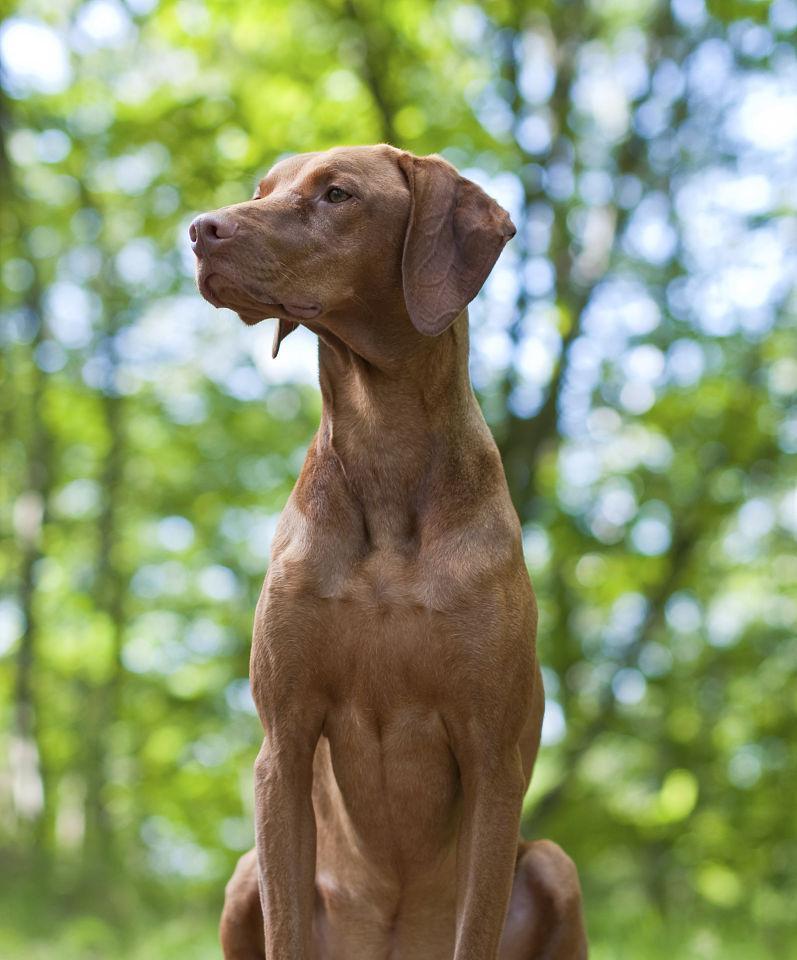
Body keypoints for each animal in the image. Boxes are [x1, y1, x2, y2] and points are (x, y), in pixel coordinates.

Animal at [188, 144, 584, 960]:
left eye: (337, 194)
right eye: (261, 191)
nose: (200, 230)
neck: (385, 452)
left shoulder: (492, 757)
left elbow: (476, 926)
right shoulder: (284, 743)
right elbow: (285, 927)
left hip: (553, 865)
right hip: (244, 876)